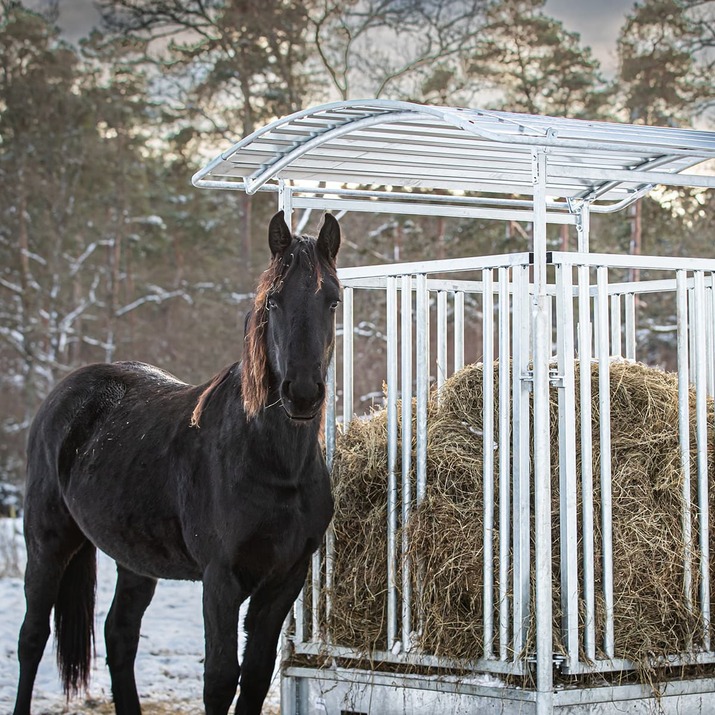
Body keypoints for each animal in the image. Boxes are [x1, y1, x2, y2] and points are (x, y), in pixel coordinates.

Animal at [11, 210, 342, 712]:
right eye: (274, 301)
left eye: (333, 301)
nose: (302, 393)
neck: (273, 465)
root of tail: (65, 392)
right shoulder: (220, 579)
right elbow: (221, 679)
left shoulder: (285, 579)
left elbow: (256, 676)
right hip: (47, 541)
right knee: (31, 638)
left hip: (134, 557)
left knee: (119, 635)